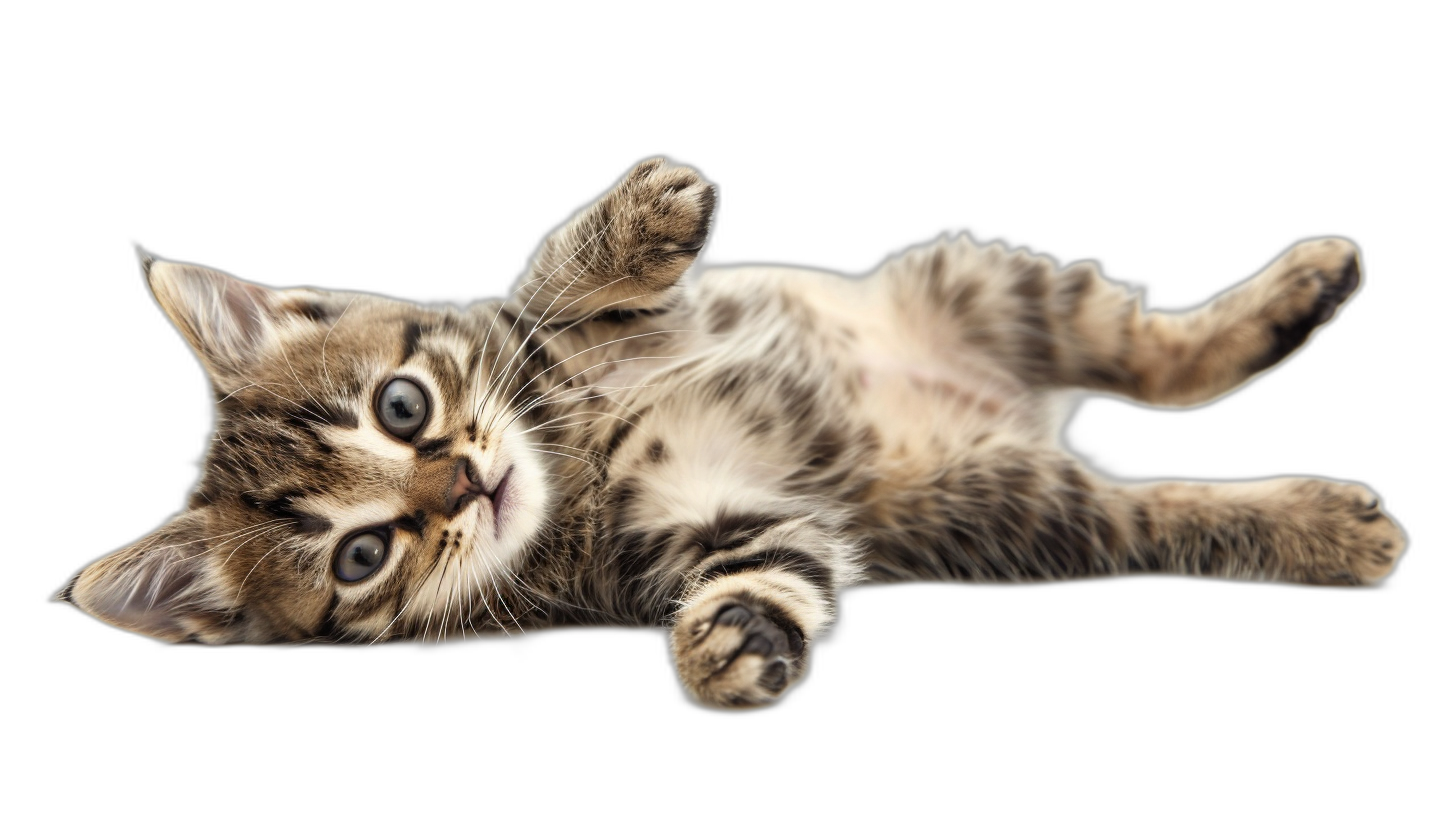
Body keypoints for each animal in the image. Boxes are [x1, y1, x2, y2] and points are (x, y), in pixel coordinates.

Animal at [56, 158, 1409, 708]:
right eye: (360, 556)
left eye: (402, 406)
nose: (464, 486)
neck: (570, 464)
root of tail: (1008, 406)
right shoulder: (722, 528)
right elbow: (765, 570)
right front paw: (733, 641)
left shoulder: (607, 328)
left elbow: (549, 288)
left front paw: (639, 213)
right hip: (1008, 507)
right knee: (1161, 503)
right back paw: (1332, 525)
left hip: (985, 289)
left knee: (1155, 356)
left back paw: (1317, 274)